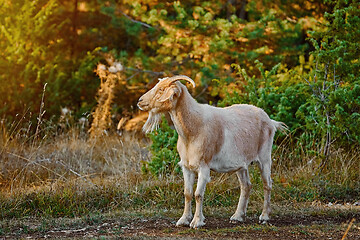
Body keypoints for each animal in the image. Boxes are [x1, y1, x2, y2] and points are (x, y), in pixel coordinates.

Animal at [137, 75, 286, 229]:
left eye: (161, 89)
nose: (140, 101)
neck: (193, 129)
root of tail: (271, 121)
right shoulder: (187, 166)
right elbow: (187, 193)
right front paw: (183, 220)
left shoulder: (204, 166)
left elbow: (198, 194)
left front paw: (197, 222)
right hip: (242, 165)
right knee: (246, 186)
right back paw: (237, 216)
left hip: (265, 157)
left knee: (267, 184)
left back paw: (264, 216)